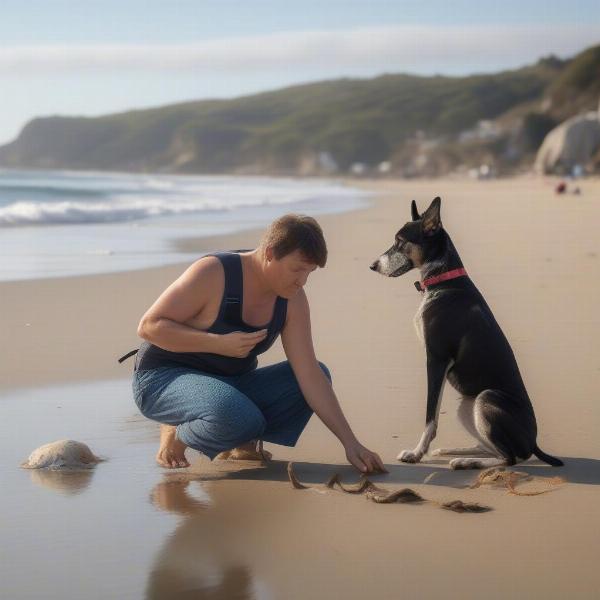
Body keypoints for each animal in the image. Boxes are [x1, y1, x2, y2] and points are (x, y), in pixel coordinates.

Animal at [370, 197, 564, 468]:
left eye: (400, 241)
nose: (373, 266)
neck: (443, 281)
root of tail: (534, 442)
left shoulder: (436, 359)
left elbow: (430, 415)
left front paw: (416, 453)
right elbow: (433, 416)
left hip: (486, 398)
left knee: (509, 458)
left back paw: (466, 461)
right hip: (467, 406)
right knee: (492, 448)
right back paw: (455, 451)